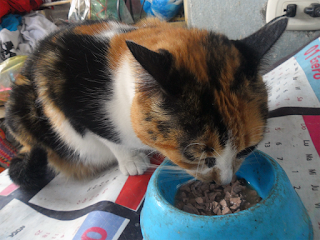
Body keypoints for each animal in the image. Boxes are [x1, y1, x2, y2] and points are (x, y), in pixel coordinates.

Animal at [5, 17, 288, 189]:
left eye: (247, 150)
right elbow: (105, 134)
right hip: (22, 111)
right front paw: (132, 161)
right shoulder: (67, 96)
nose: (225, 182)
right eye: (196, 157)